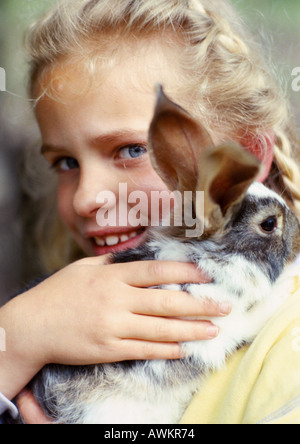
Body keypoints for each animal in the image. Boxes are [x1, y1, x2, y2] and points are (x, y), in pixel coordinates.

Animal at [6, 86, 300, 424]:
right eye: (269, 224)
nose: (297, 235)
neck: (206, 257)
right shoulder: (209, 330)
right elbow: (252, 318)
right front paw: (288, 284)